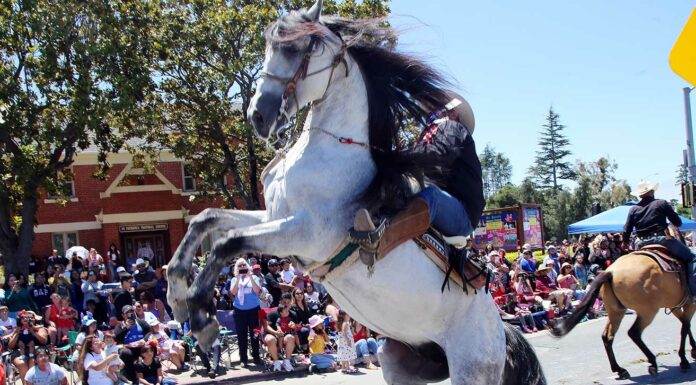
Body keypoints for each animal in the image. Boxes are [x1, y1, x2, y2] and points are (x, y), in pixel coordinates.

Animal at [166, 1, 548, 382]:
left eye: (294, 48)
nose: (258, 115)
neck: (329, 148)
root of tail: (501, 330)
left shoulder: (304, 233)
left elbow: (225, 243)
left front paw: (201, 318)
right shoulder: (272, 216)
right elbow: (206, 219)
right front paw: (176, 291)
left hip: (471, 368)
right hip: (398, 360)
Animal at [556, 249, 696, 378]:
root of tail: (611, 272)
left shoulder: (675, 306)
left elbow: (686, 325)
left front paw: (692, 351)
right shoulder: (690, 304)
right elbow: (685, 327)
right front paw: (684, 360)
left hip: (616, 311)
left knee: (607, 336)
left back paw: (619, 369)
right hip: (648, 312)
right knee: (634, 333)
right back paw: (652, 362)